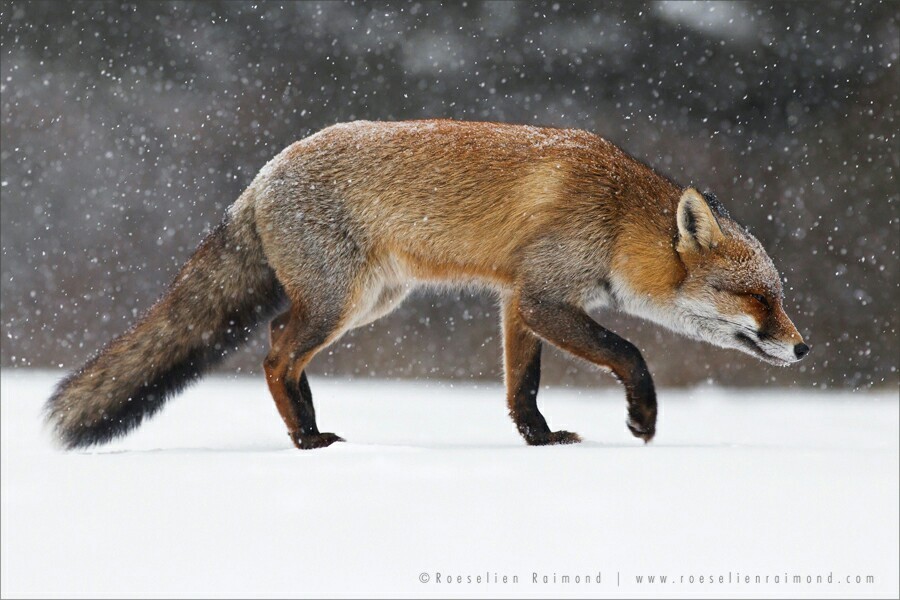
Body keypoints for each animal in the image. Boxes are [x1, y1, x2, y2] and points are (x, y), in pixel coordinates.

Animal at [45, 119, 812, 448]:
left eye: (781, 296)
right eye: (758, 298)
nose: (804, 347)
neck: (616, 219)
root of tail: (263, 173)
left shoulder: (518, 302)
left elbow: (521, 388)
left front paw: (538, 441)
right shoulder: (544, 297)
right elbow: (632, 353)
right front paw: (643, 420)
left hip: (371, 304)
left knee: (278, 343)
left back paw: (311, 425)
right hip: (340, 302)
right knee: (273, 352)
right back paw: (306, 439)